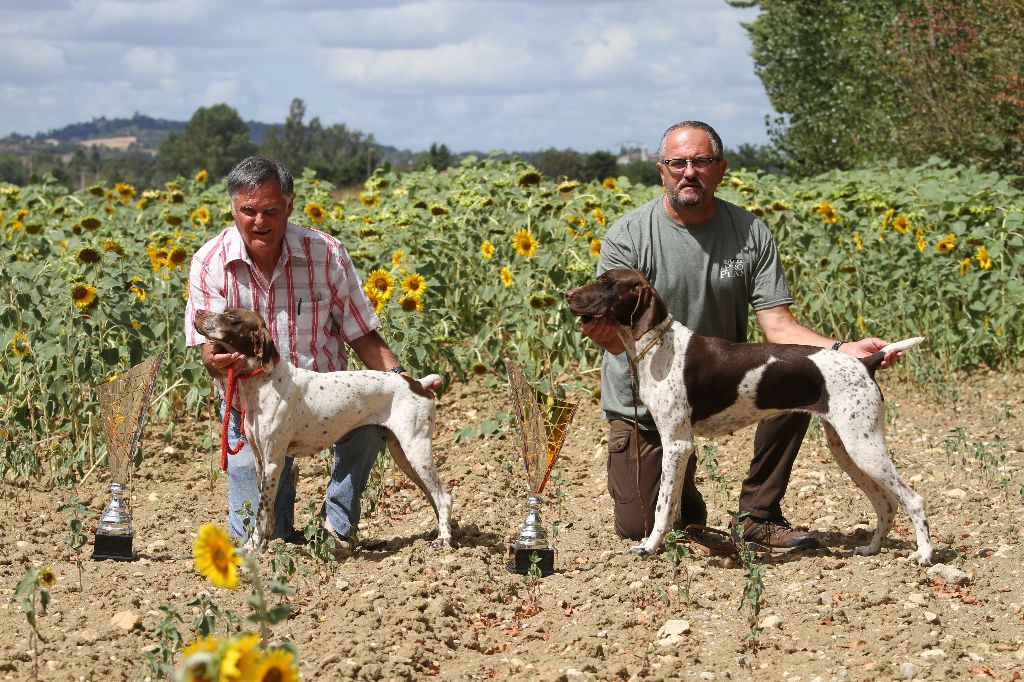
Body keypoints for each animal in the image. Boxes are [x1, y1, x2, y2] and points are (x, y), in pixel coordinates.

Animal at [192, 307, 452, 552]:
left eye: (231, 317)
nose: (198, 312)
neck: (263, 383)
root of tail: (418, 384)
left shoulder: (274, 461)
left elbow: (262, 512)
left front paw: (252, 547)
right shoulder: (259, 460)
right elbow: (266, 510)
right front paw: (264, 545)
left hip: (416, 449)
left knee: (443, 497)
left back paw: (444, 540)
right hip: (402, 454)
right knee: (433, 494)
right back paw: (441, 532)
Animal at [569, 268, 937, 565]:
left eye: (607, 283)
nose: (568, 295)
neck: (659, 346)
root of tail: (865, 362)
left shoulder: (676, 444)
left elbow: (661, 506)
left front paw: (649, 547)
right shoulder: (678, 446)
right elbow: (672, 504)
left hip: (864, 446)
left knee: (914, 499)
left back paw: (924, 554)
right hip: (847, 449)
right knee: (886, 504)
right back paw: (872, 549)